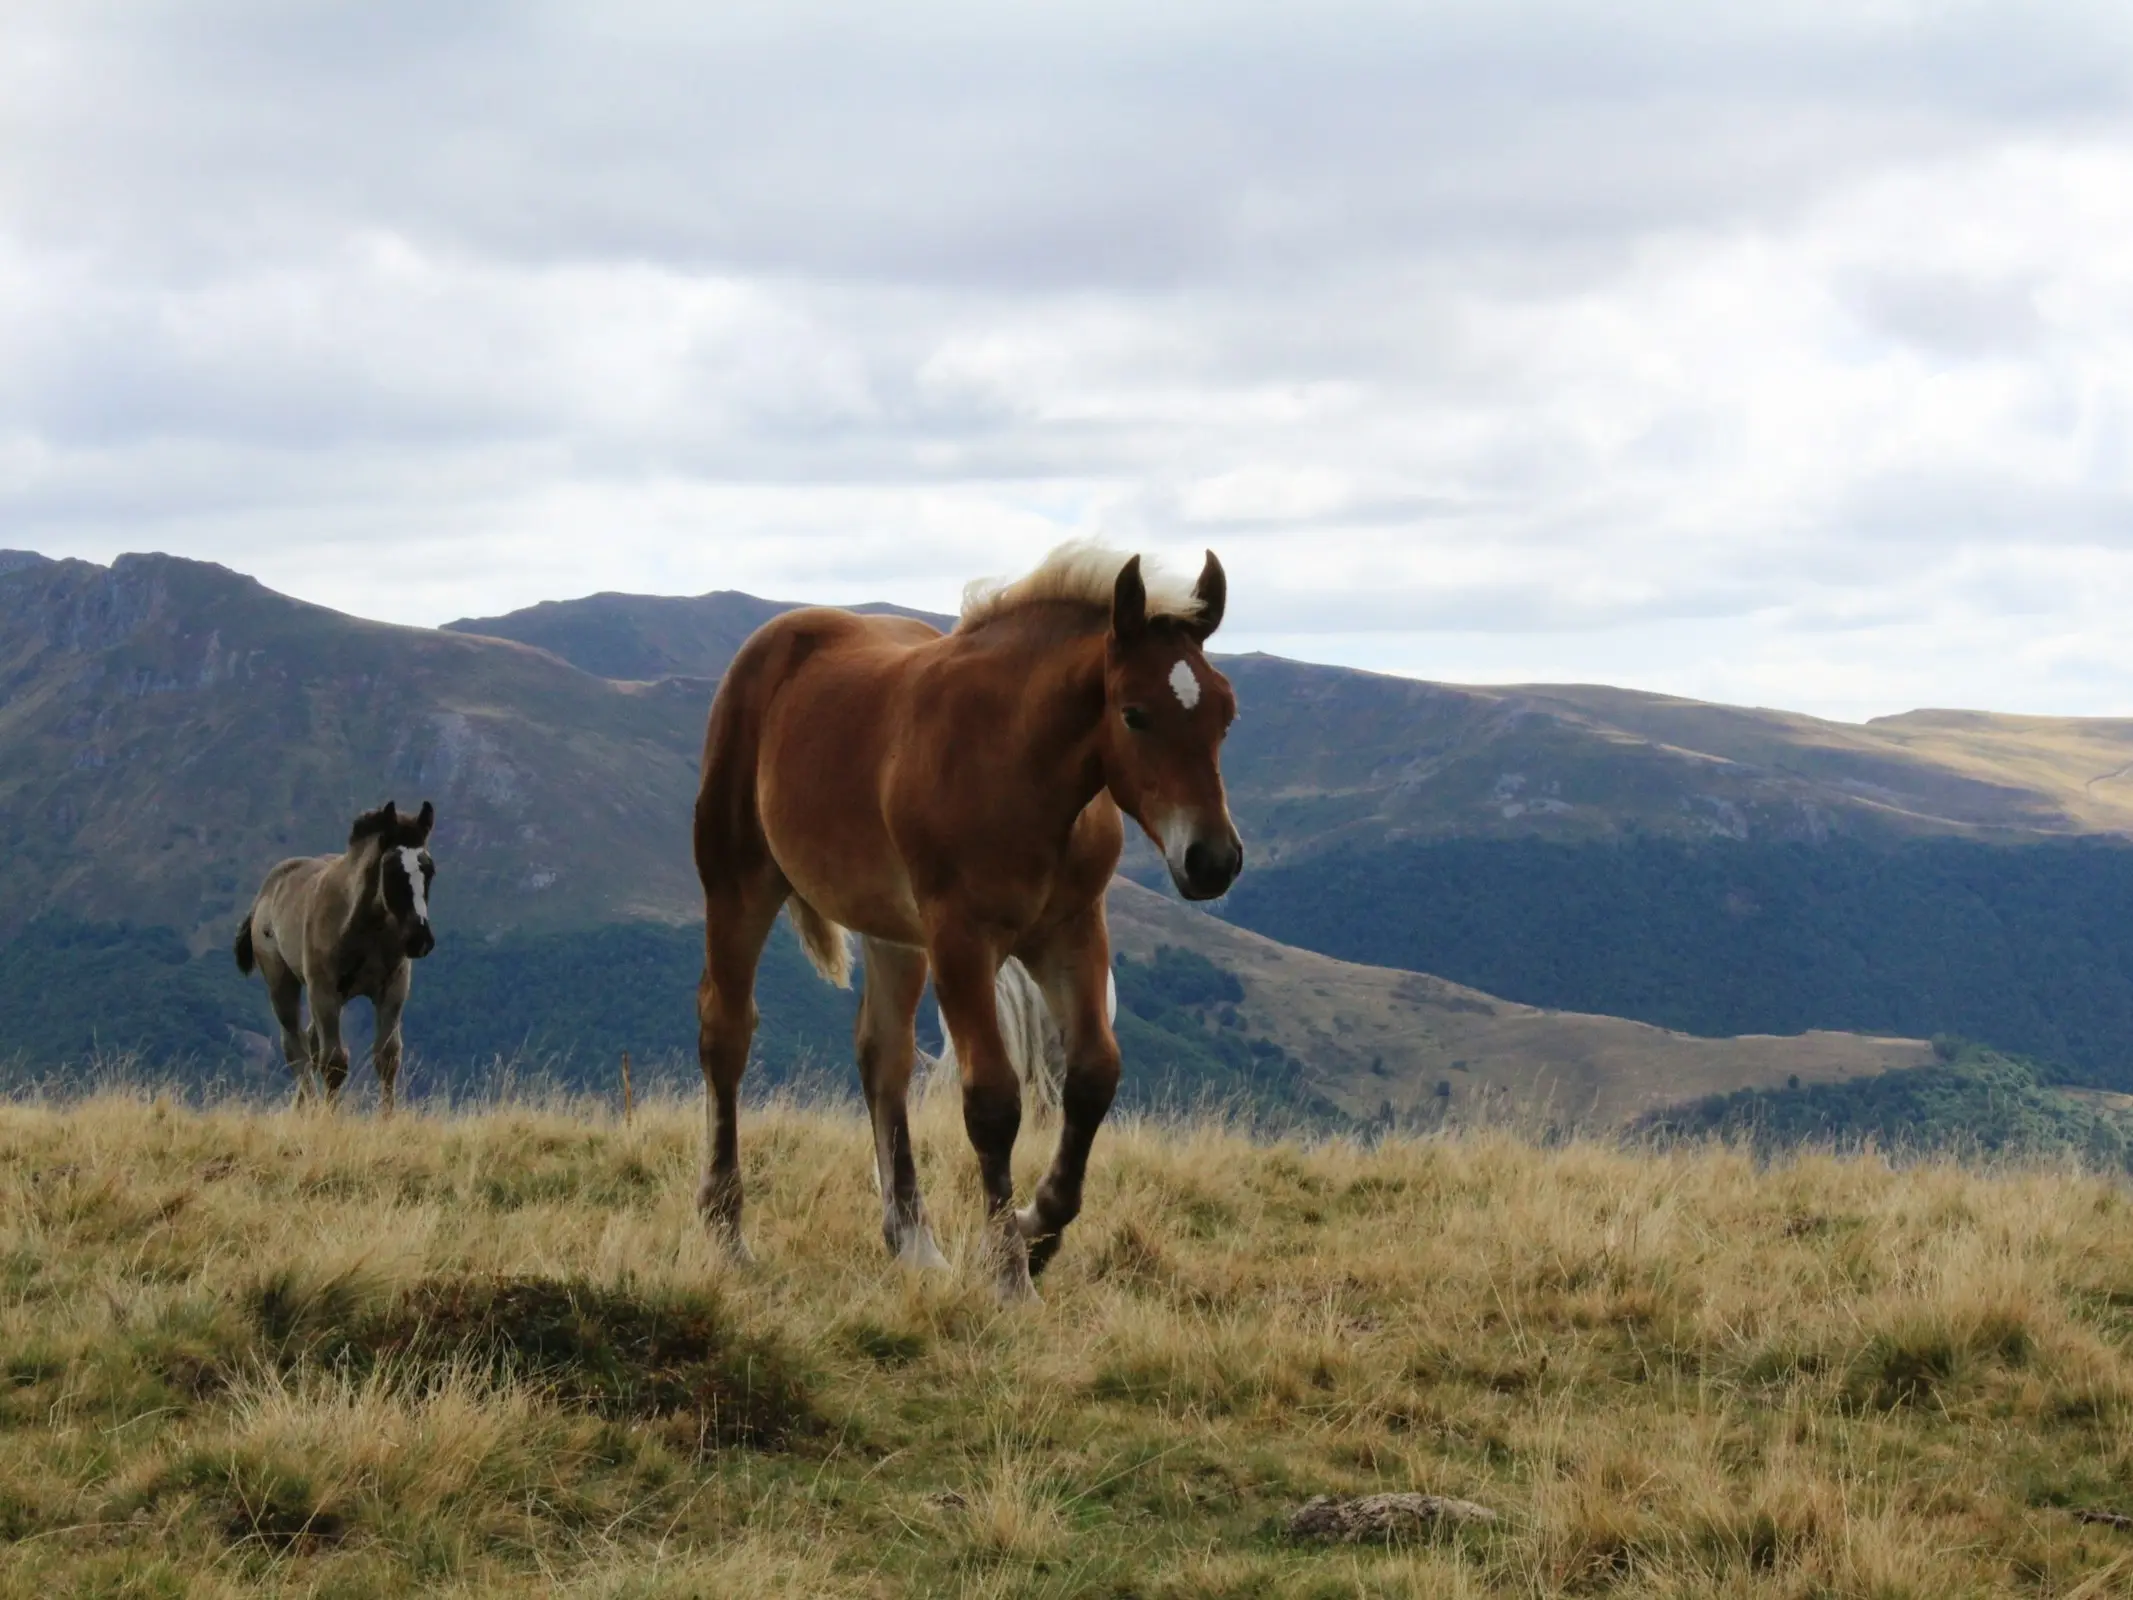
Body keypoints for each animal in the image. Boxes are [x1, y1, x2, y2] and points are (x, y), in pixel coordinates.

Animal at [691, 546, 1245, 1297]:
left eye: (1225, 713)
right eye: (1134, 714)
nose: (1212, 861)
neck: (1021, 770)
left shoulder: (1071, 932)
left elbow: (1093, 1077)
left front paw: (1038, 1229)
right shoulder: (961, 939)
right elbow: (992, 1101)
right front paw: (1008, 1271)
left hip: (892, 931)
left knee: (884, 1057)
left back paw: (914, 1243)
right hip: (738, 883)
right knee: (726, 1033)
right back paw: (726, 1233)